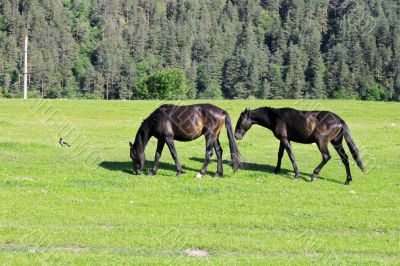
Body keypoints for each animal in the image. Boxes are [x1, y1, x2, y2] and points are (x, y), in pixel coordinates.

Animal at [233, 106, 364, 185]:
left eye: (240, 121)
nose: (236, 136)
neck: (276, 117)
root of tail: (339, 120)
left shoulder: (285, 139)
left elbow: (291, 155)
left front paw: (296, 174)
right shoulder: (284, 140)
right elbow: (280, 155)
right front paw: (276, 170)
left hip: (321, 142)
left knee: (326, 156)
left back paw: (314, 174)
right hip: (337, 142)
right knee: (345, 158)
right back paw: (347, 180)